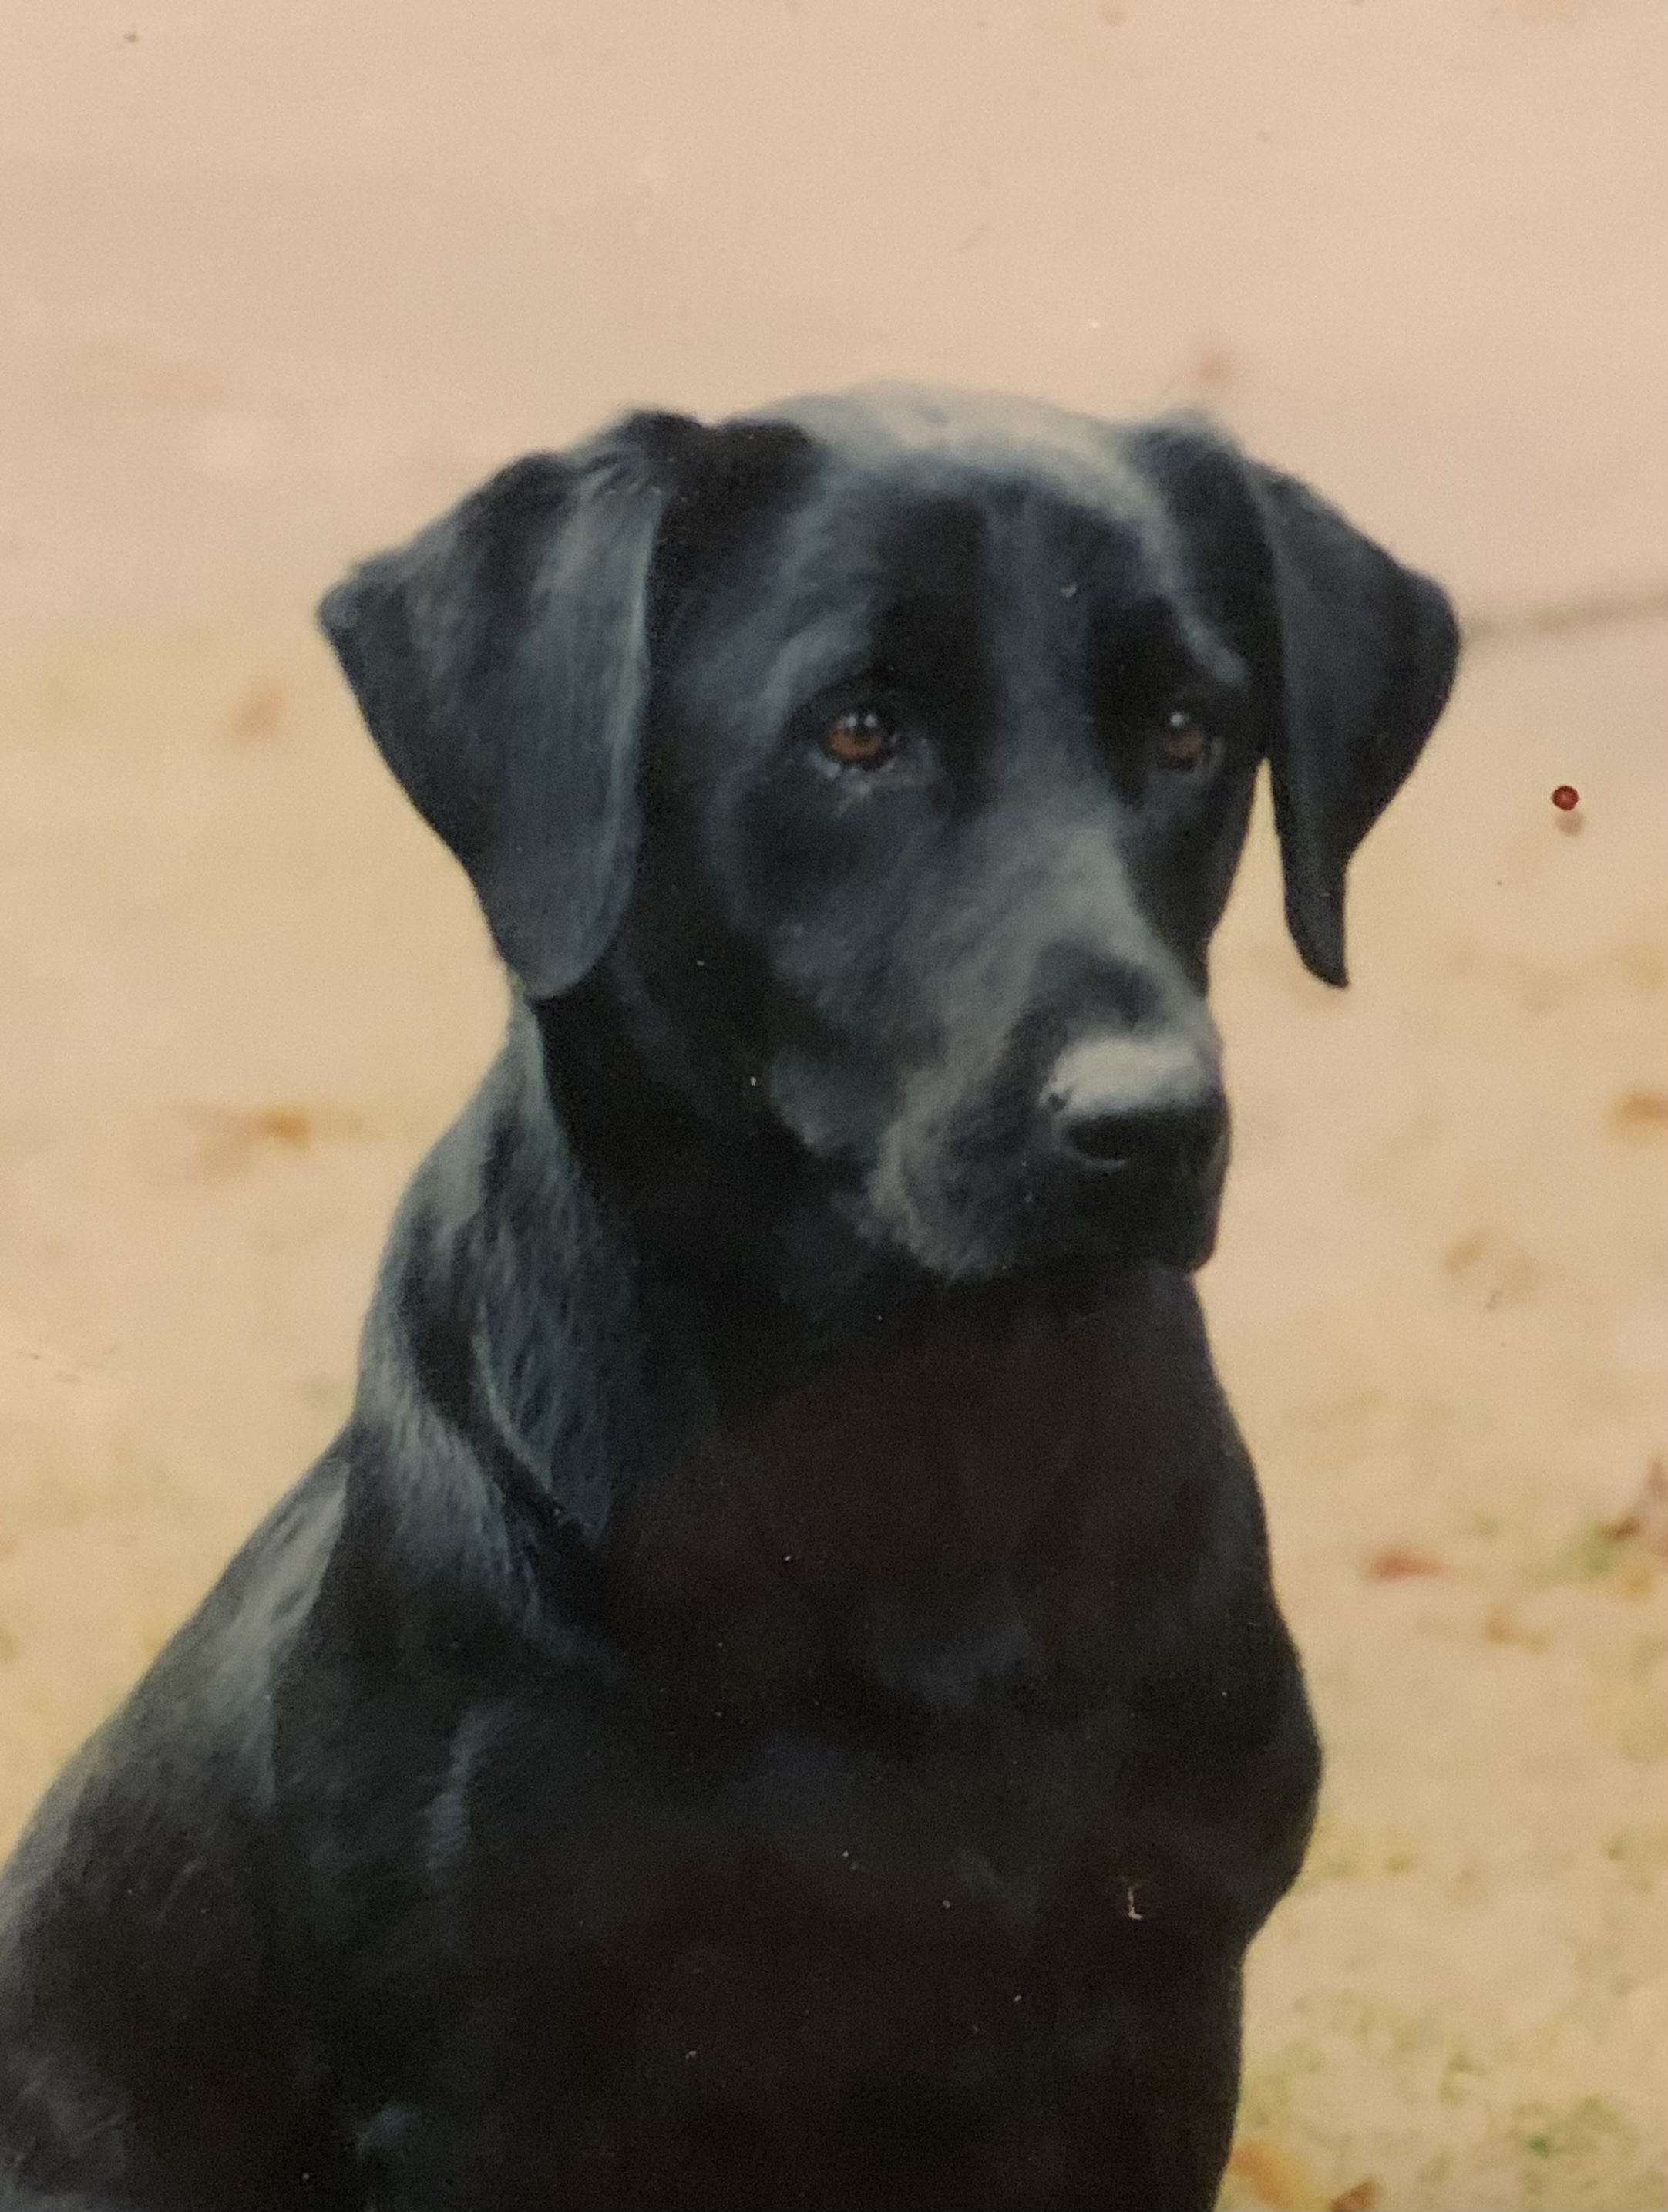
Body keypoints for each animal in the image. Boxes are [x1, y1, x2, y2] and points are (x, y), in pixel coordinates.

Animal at [0, 389, 1451, 2203]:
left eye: (1189, 730)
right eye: (854, 732)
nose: (1147, 1126)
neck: (907, 1444)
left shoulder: (1155, 2009)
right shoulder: (489, 2095)